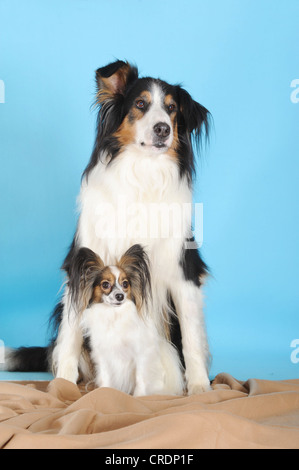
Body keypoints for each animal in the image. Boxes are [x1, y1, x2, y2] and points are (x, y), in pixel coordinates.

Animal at [73, 244, 185, 394]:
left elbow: (140, 379)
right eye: (105, 284)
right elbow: (105, 378)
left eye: (125, 284)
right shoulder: (103, 357)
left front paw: (138, 396)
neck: (114, 315)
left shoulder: (139, 354)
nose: (120, 296)